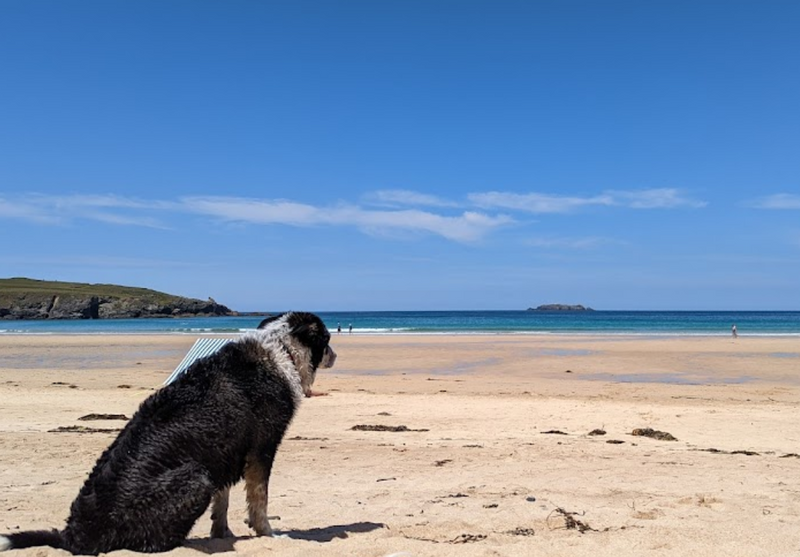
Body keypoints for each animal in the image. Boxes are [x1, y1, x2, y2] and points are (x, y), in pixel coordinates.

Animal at [0, 310, 334, 552]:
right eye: (327, 338)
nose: (335, 354)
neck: (282, 351)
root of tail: (77, 534)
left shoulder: (225, 449)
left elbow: (223, 500)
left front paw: (222, 532)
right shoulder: (261, 448)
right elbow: (259, 500)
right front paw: (268, 533)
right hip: (196, 479)